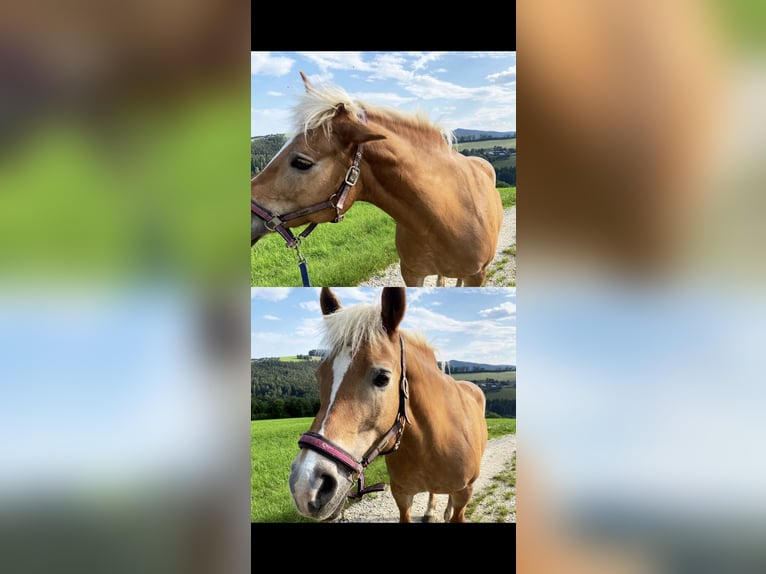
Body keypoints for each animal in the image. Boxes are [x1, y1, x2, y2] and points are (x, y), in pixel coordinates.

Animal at [288, 290, 492, 524]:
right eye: (319, 375)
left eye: (382, 378)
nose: (305, 486)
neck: (432, 443)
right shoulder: (402, 495)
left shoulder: (464, 494)